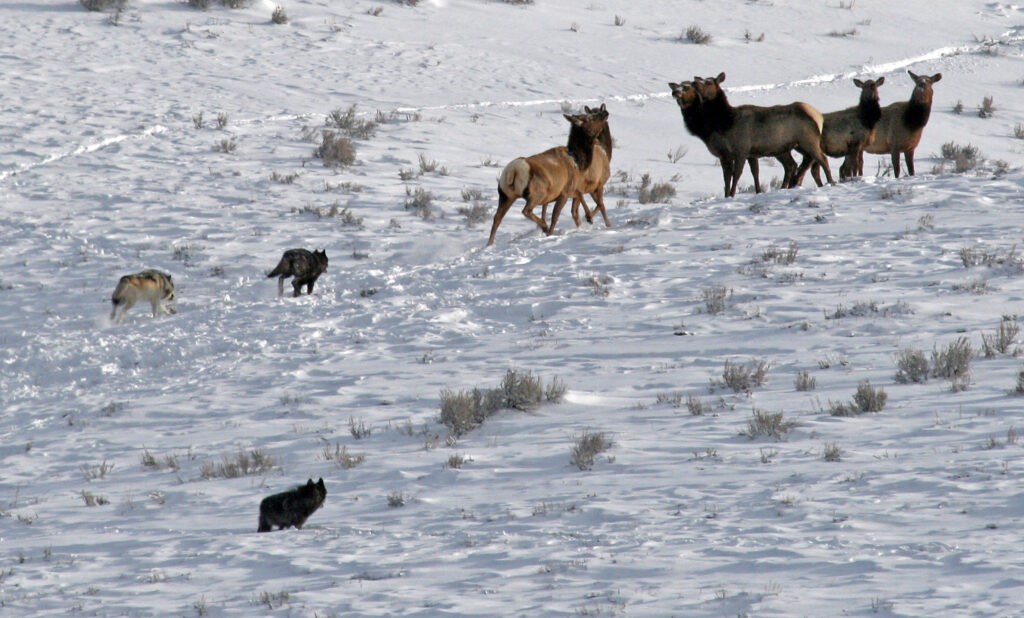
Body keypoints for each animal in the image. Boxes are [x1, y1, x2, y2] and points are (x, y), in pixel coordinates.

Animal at [486, 112, 603, 246]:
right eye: (590, 118)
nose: (604, 114)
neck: (578, 162)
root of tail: (513, 171)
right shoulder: (565, 192)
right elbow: (555, 216)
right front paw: (550, 234)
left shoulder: (554, 196)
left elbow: (546, 212)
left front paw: (589, 218)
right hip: (536, 194)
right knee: (526, 211)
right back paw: (544, 227)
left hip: (506, 196)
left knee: (497, 218)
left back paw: (489, 244)